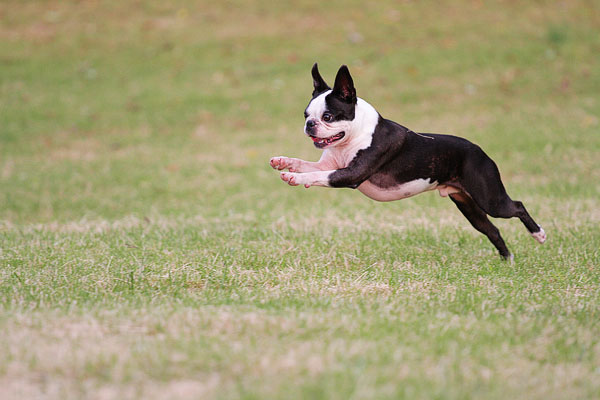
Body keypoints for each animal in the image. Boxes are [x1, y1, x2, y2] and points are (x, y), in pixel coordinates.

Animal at [270, 65, 548, 260]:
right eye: (306, 115)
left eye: (328, 116)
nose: (310, 125)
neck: (353, 135)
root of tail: (481, 152)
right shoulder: (330, 166)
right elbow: (307, 164)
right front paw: (285, 162)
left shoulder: (351, 174)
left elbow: (317, 176)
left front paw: (295, 177)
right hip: (468, 206)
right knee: (492, 229)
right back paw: (507, 259)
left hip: (490, 198)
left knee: (517, 206)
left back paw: (538, 234)